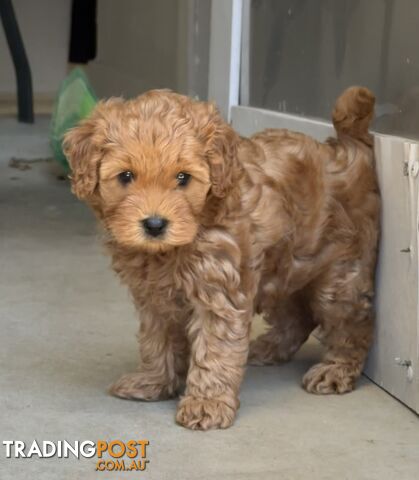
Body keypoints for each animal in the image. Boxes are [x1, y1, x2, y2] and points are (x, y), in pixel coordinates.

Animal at [65, 86, 380, 432]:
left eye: (183, 178)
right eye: (126, 176)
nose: (154, 225)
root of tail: (346, 148)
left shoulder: (220, 291)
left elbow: (214, 350)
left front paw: (207, 404)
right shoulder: (154, 298)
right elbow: (156, 340)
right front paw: (153, 381)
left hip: (340, 273)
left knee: (352, 324)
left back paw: (335, 370)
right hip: (282, 266)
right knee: (297, 315)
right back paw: (268, 348)